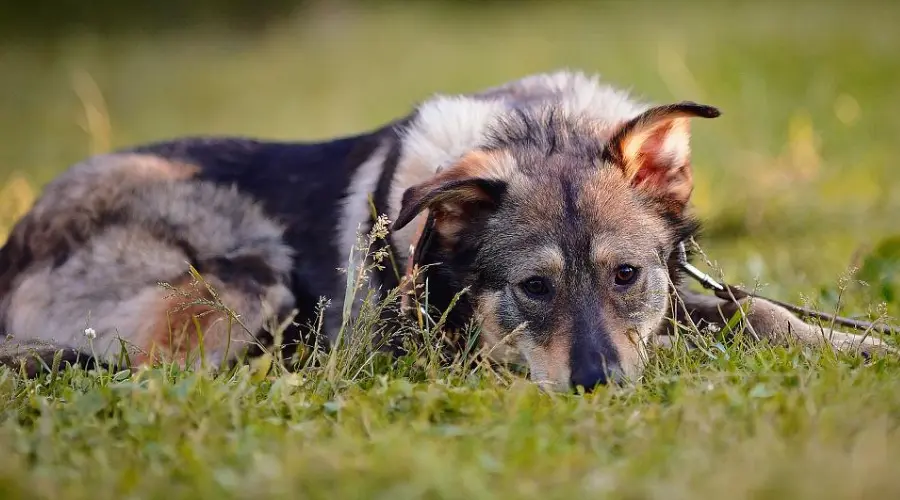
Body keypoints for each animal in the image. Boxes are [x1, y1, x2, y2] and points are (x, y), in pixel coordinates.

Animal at [0, 70, 888, 390]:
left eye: (627, 275)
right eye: (533, 288)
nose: (599, 388)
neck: (539, 126)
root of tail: (15, 244)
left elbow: (755, 311)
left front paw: (858, 345)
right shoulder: (462, 349)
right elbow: (693, 343)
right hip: (243, 281)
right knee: (157, 377)